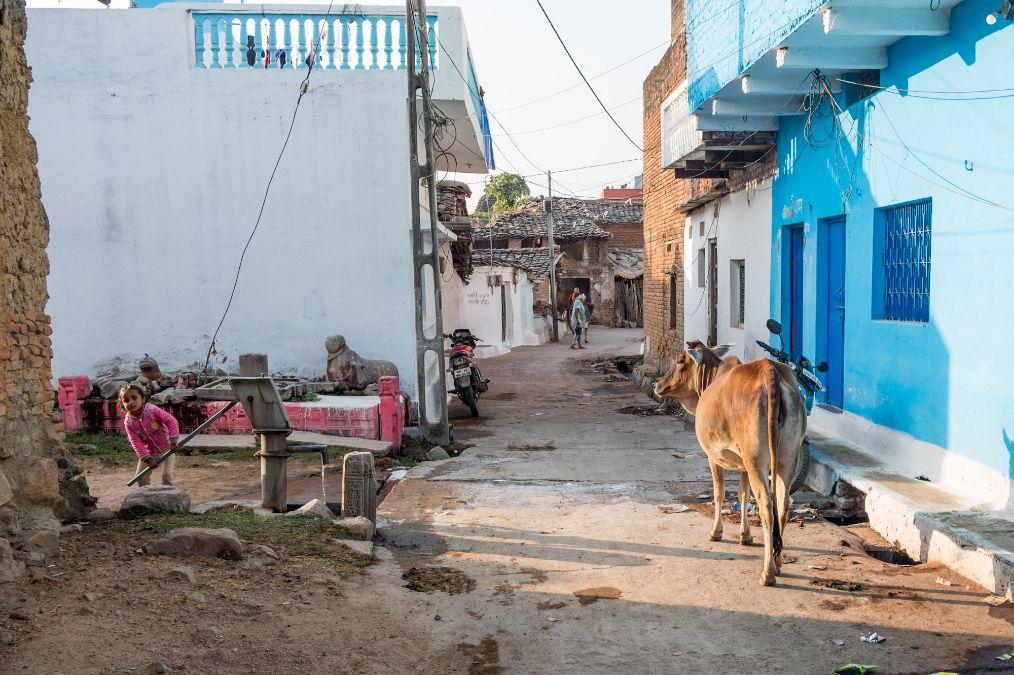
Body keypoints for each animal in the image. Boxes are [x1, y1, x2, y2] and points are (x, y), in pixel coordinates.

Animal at [653, 342, 803, 583]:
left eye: (680, 361)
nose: (658, 385)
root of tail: (769, 370)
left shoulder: (713, 456)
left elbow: (719, 493)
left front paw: (716, 532)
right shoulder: (743, 466)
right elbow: (743, 494)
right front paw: (745, 536)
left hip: (756, 460)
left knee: (766, 506)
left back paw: (768, 572)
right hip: (787, 459)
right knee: (783, 503)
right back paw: (778, 562)